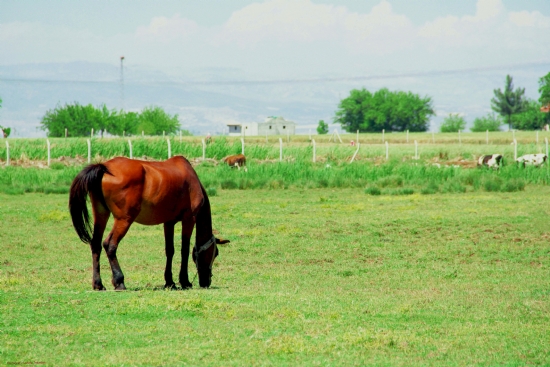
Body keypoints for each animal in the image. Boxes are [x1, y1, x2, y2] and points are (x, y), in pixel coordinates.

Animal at [69, 155, 231, 290]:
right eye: (215, 253)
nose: (206, 282)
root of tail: (103, 167)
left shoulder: (168, 223)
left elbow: (170, 250)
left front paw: (170, 282)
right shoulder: (189, 219)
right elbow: (184, 250)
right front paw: (184, 281)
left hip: (101, 214)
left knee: (96, 245)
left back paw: (98, 284)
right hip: (124, 220)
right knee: (110, 245)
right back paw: (119, 281)